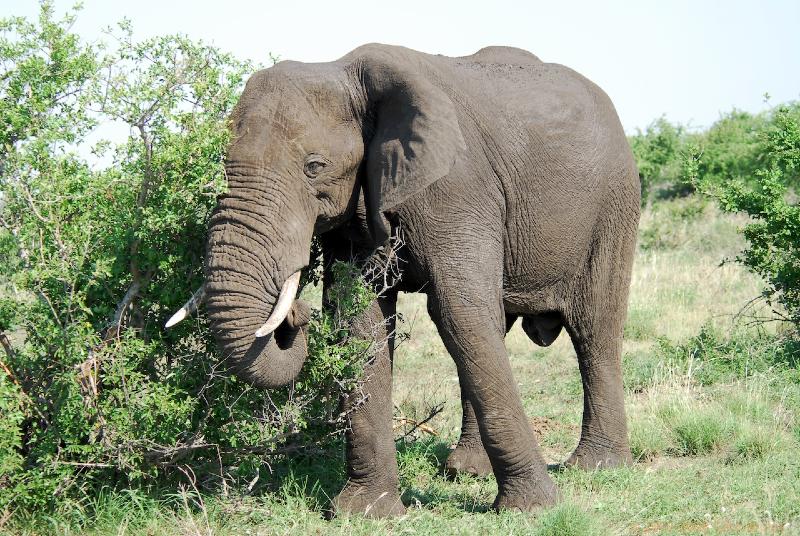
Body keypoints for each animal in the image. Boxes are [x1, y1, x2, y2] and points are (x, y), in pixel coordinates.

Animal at [167, 44, 636, 516]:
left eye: (314, 167)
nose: (295, 313)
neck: (341, 70)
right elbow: (361, 323)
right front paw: (364, 512)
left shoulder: (456, 187)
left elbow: (457, 311)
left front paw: (534, 509)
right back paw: (466, 470)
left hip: (614, 205)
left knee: (593, 327)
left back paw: (596, 467)